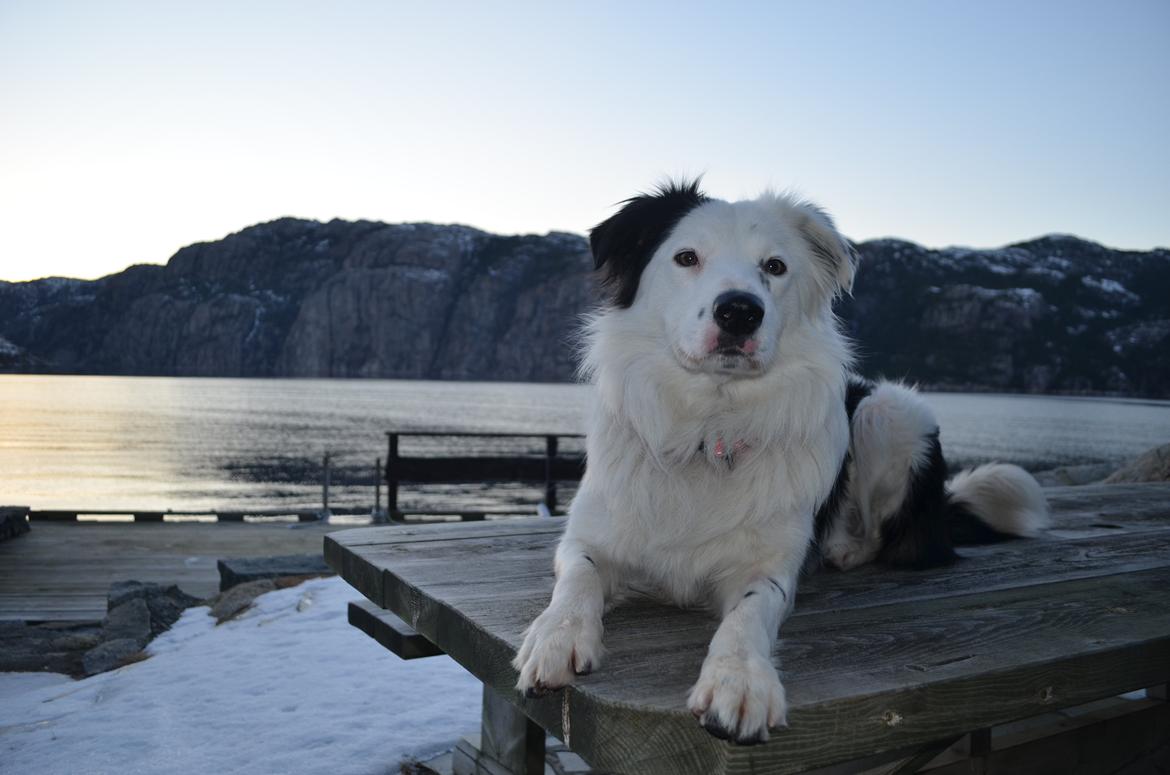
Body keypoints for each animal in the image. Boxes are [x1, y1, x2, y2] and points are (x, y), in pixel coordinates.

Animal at [514, 180, 1053, 749]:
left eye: (774, 267)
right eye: (686, 257)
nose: (739, 311)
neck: (710, 429)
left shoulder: (769, 567)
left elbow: (750, 611)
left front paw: (739, 679)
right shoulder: (586, 538)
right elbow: (578, 579)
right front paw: (557, 636)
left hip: (888, 411)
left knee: (880, 533)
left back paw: (840, 548)